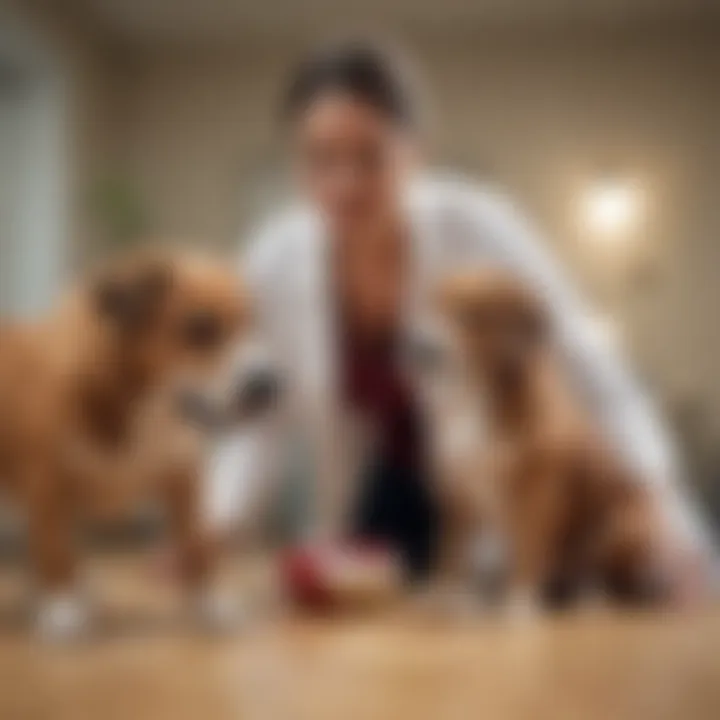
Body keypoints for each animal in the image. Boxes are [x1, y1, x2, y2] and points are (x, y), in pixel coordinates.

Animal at [0, 250, 280, 640]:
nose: (268, 386)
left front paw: (211, 603)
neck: (146, 407)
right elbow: (55, 551)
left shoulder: (184, 482)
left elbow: (196, 545)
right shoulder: (47, 486)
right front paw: (62, 607)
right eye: (200, 328)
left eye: (254, 325)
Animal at [410, 268, 680, 616]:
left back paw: (592, 598)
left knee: (612, 579)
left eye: (471, 315)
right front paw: (444, 595)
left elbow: (529, 550)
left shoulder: (537, 495)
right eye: (430, 304)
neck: (479, 397)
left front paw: (519, 606)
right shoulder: (459, 494)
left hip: (627, 525)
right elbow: (450, 553)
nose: (417, 346)